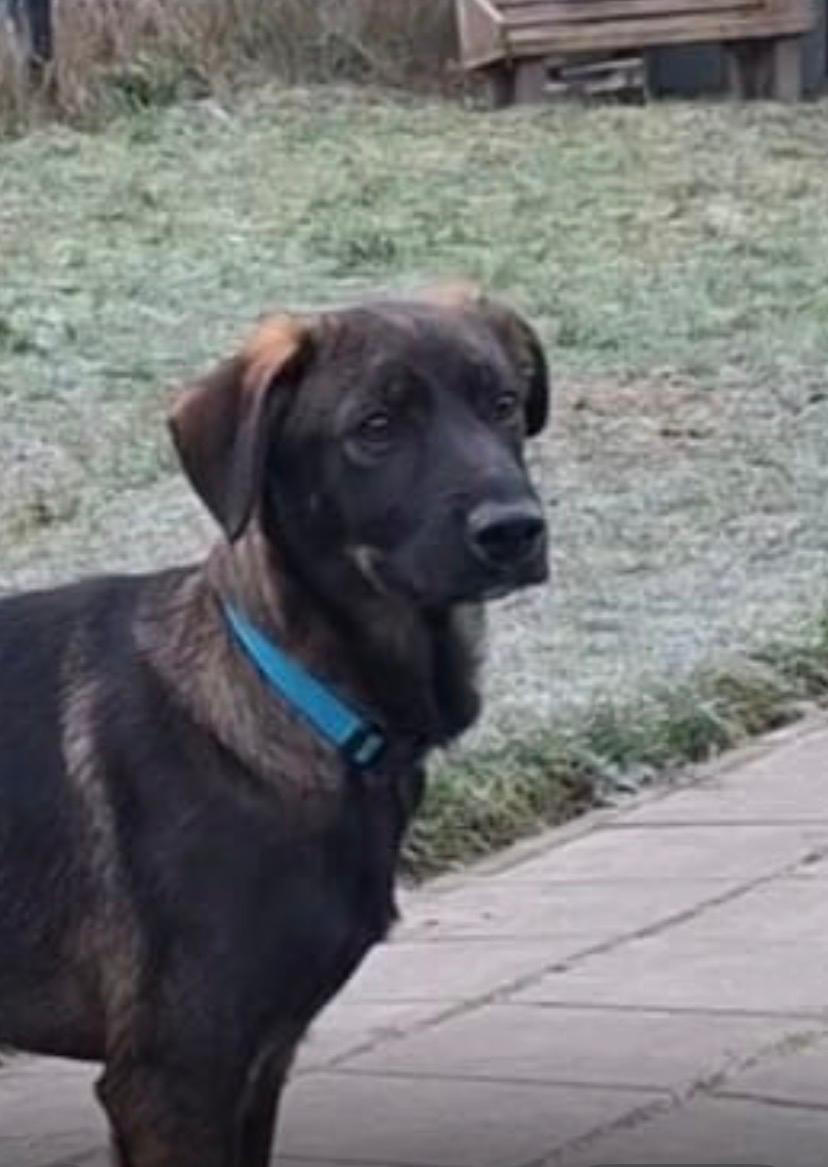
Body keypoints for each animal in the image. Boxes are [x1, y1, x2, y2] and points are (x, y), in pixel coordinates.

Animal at [0, 284, 550, 1166]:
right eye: (375, 427)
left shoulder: (261, 1063)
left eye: (501, 403)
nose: (514, 529)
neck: (297, 694)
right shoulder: (175, 1076)